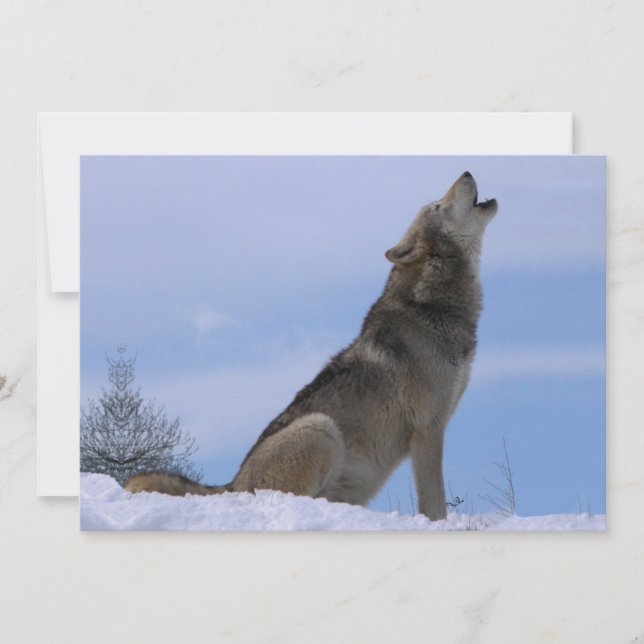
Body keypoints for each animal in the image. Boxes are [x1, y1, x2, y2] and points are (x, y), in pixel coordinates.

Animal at [125, 172, 497, 521]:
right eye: (437, 205)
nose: (466, 171)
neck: (432, 306)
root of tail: (232, 485)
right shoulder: (427, 429)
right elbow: (435, 504)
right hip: (321, 428)